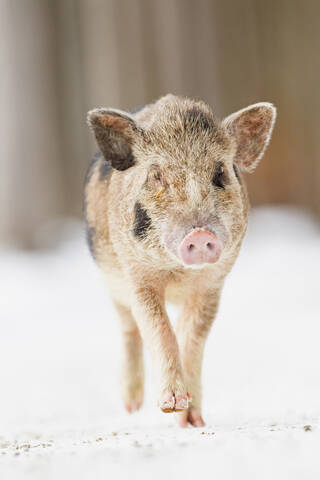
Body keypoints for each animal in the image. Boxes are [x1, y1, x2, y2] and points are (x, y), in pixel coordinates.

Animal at [84, 94, 276, 428]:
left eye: (220, 172)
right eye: (156, 174)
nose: (198, 234)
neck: (179, 275)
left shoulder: (212, 285)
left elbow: (192, 337)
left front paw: (191, 421)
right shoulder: (138, 277)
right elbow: (159, 329)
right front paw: (171, 407)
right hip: (111, 280)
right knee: (128, 327)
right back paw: (131, 408)